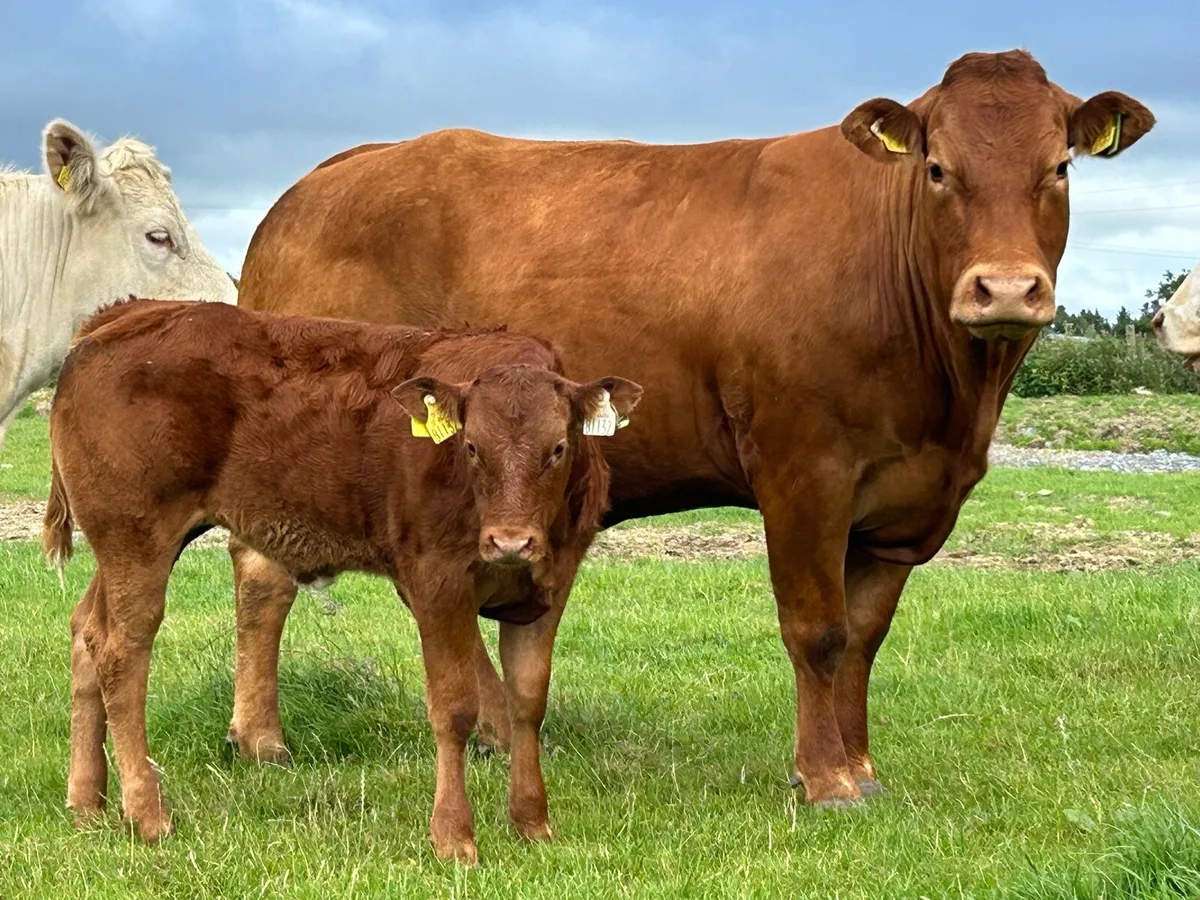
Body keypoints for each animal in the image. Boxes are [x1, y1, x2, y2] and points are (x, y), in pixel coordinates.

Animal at [42, 298, 641, 863]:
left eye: (557, 448)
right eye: (472, 448)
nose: (510, 542)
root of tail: (128, 313)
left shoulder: (550, 588)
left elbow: (528, 702)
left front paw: (532, 823)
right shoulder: (437, 582)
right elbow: (454, 708)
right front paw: (454, 837)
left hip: (128, 546)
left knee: (86, 632)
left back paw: (88, 803)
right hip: (137, 536)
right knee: (122, 651)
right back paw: (147, 814)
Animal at [234, 49, 1154, 808]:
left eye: (1059, 167)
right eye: (936, 168)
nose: (1005, 289)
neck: (953, 397)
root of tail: (328, 175)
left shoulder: (904, 505)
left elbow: (864, 639)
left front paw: (860, 766)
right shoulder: (803, 471)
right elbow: (817, 631)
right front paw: (825, 779)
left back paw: (495, 732)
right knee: (264, 576)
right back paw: (264, 739)